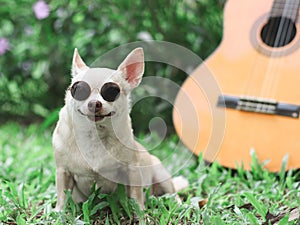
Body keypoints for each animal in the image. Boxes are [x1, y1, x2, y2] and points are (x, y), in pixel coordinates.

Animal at [52, 47, 185, 211]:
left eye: (111, 91)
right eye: (79, 89)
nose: (94, 103)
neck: (95, 134)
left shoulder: (132, 170)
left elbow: (136, 196)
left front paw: (140, 212)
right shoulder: (63, 171)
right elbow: (62, 196)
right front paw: (59, 212)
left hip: (162, 175)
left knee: (173, 193)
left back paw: (177, 205)